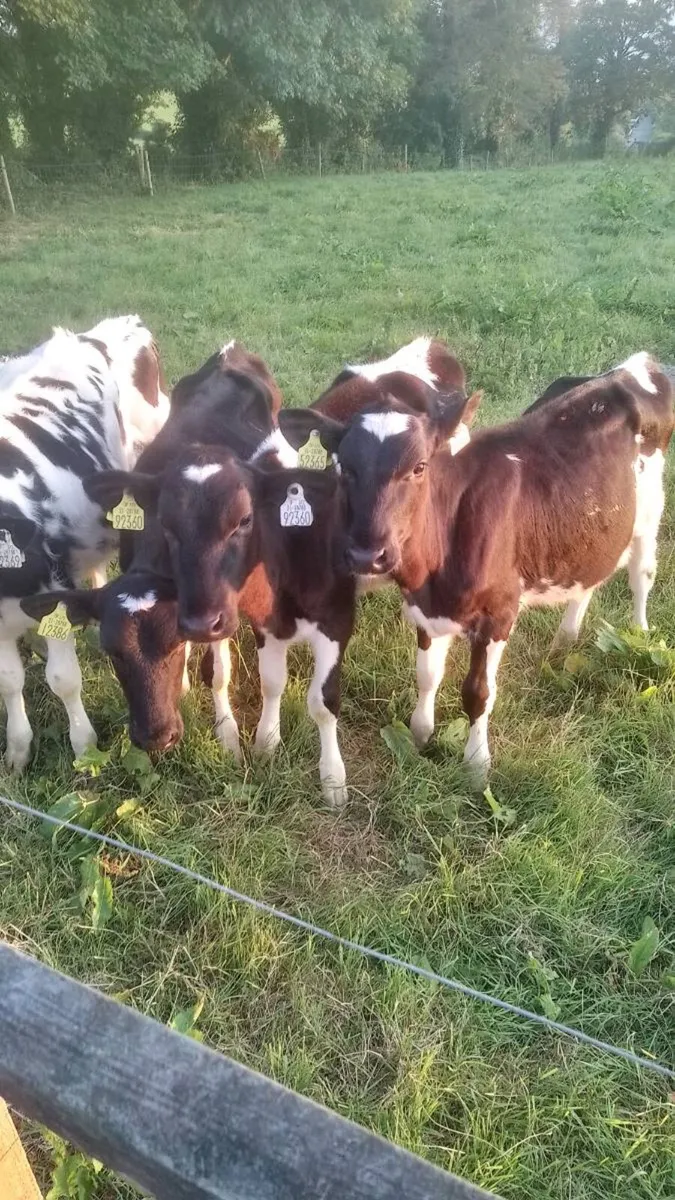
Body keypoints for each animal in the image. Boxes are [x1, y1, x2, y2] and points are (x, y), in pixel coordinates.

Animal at [0, 316, 168, 770]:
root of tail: (123, 321)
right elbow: (8, 682)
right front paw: (17, 751)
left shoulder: (51, 595)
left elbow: (63, 679)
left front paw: (84, 745)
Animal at [24, 450, 355, 806]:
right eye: (113, 653)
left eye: (245, 520)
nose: (156, 737)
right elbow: (255, 679)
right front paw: (252, 740)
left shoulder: (334, 619)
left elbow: (319, 702)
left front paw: (333, 780)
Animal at [277, 353, 674, 783]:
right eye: (343, 468)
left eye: (420, 466)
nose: (368, 556)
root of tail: (634, 366)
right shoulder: (426, 608)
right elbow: (427, 674)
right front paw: (421, 731)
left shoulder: (499, 612)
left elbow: (479, 693)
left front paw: (477, 763)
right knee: (591, 577)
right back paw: (564, 640)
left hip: (649, 514)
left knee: (641, 574)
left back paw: (639, 632)